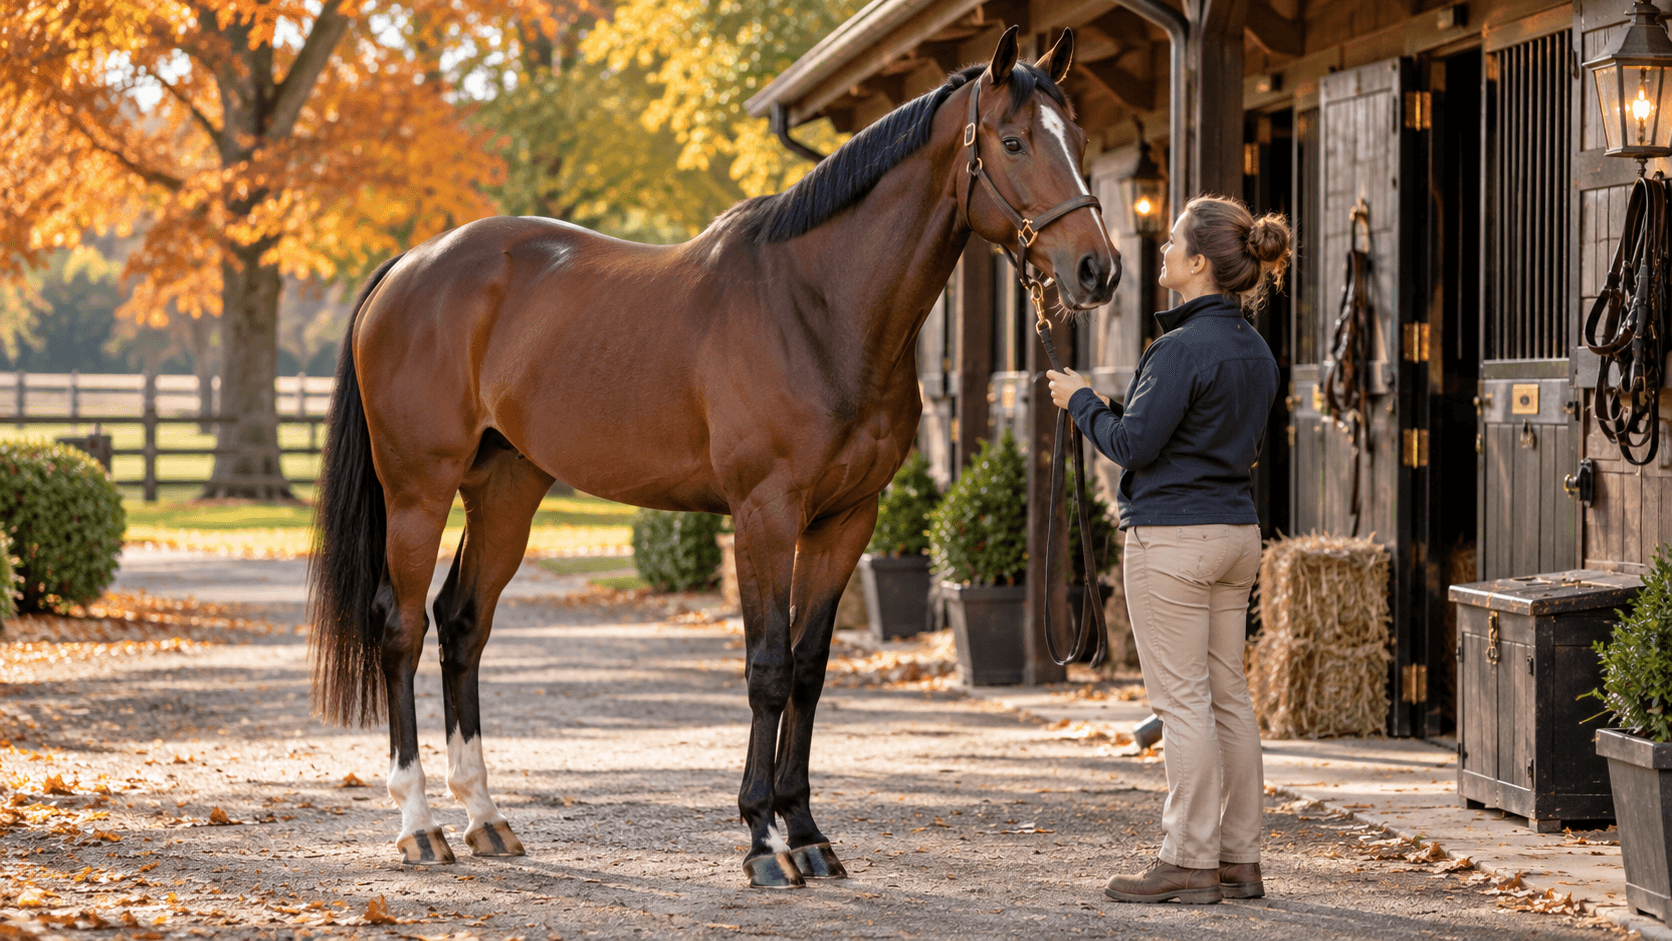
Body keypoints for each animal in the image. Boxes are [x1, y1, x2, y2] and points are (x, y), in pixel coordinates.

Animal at [307, 24, 1118, 889]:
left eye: (1080, 141)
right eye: (1013, 141)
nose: (1098, 269)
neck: (818, 307)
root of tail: (410, 266)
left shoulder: (847, 520)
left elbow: (809, 668)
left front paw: (808, 833)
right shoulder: (763, 513)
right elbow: (767, 667)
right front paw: (762, 841)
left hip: (506, 489)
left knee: (463, 624)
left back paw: (486, 817)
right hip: (418, 492)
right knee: (400, 628)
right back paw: (419, 824)